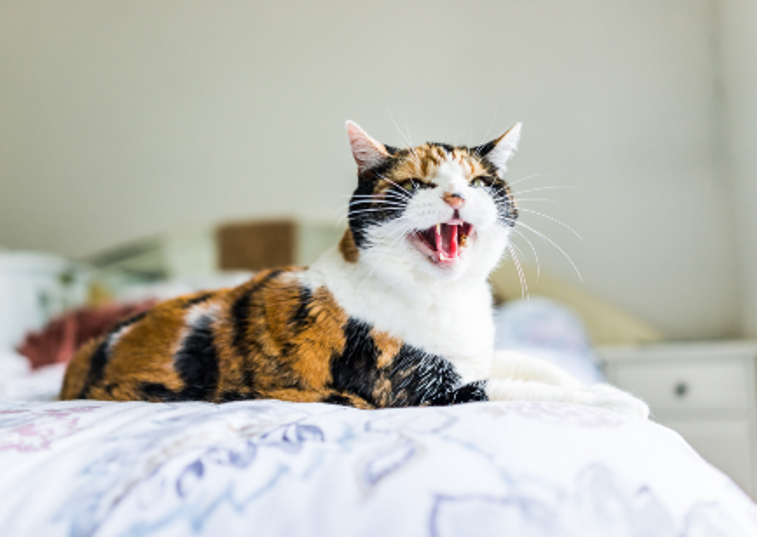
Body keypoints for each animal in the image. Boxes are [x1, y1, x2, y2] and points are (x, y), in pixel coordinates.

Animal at [60, 122, 648, 418]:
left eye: (479, 181)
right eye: (417, 184)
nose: (456, 196)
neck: (444, 301)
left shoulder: (475, 356)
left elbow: (536, 366)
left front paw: (598, 386)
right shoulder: (417, 389)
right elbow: (516, 390)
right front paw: (616, 400)